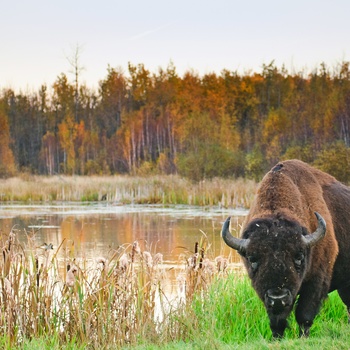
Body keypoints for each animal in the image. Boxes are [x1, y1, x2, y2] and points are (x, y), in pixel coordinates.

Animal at [221, 160, 350, 338]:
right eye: (252, 259)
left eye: (299, 256)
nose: (277, 298)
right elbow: (277, 320)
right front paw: (277, 337)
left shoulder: (316, 281)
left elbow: (304, 315)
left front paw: (303, 337)